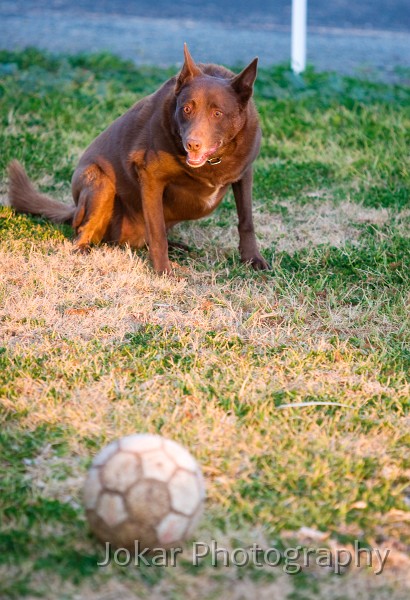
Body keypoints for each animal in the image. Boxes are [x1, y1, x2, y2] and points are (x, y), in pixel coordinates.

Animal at [8, 44, 270, 274]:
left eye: (217, 113)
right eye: (186, 109)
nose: (193, 144)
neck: (212, 162)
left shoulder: (245, 173)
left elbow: (246, 219)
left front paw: (253, 259)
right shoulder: (151, 177)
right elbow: (156, 231)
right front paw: (163, 271)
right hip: (100, 183)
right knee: (83, 229)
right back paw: (82, 249)